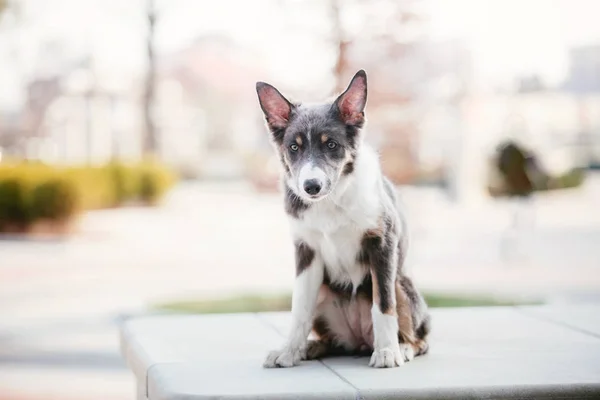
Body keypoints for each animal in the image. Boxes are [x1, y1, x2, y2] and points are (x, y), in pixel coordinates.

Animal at [255, 69, 428, 368]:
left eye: (332, 145)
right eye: (294, 148)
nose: (311, 186)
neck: (331, 200)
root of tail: (358, 341)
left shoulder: (382, 244)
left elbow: (384, 304)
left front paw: (387, 351)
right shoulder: (306, 251)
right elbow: (299, 308)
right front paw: (289, 350)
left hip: (401, 282)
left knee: (420, 337)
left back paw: (402, 347)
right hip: (324, 292)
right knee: (332, 341)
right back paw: (310, 347)